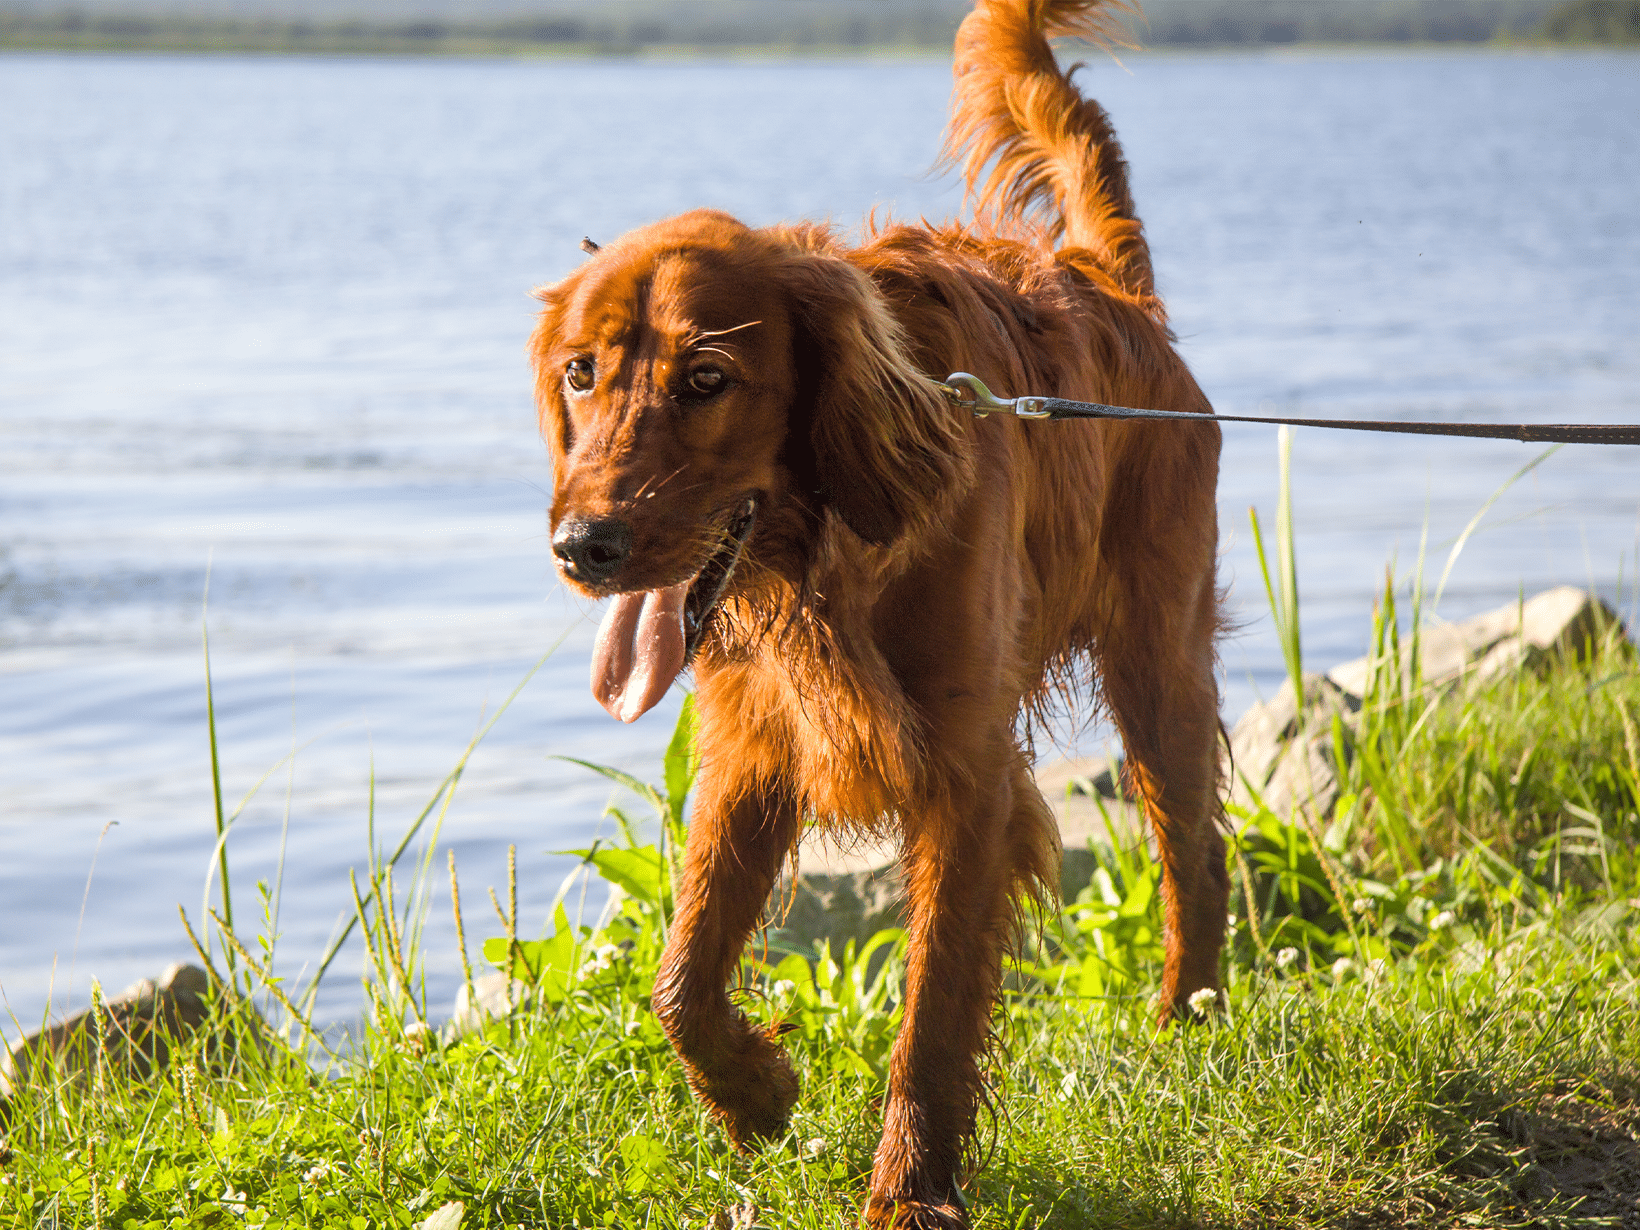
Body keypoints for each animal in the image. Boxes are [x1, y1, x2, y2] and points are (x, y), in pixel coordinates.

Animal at [531, 2, 1226, 1226]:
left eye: (707, 380)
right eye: (580, 373)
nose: (583, 548)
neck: (824, 555)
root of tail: (1110, 286)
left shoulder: (967, 775)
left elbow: (935, 1006)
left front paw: (909, 1192)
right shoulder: (754, 745)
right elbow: (679, 977)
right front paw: (756, 1093)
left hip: (1159, 670)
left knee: (1196, 854)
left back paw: (1187, 1023)